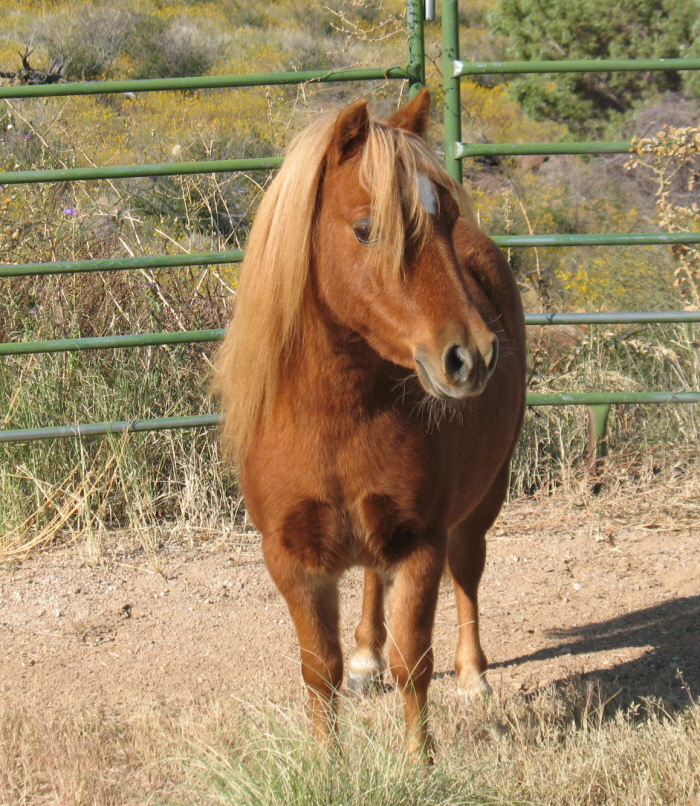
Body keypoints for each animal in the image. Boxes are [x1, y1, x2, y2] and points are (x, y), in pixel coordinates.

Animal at [213, 89, 526, 757]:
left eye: (444, 219)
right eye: (366, 229)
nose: (473, 356)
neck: (334, 419)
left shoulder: (421, 544)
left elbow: (414, 663)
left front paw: (420, 764)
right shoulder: (292, 559)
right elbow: (319, 669)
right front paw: (327, 762)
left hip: (484, 498)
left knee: (469, 570)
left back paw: (474, 675)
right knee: (370, 587)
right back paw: (366, 658)